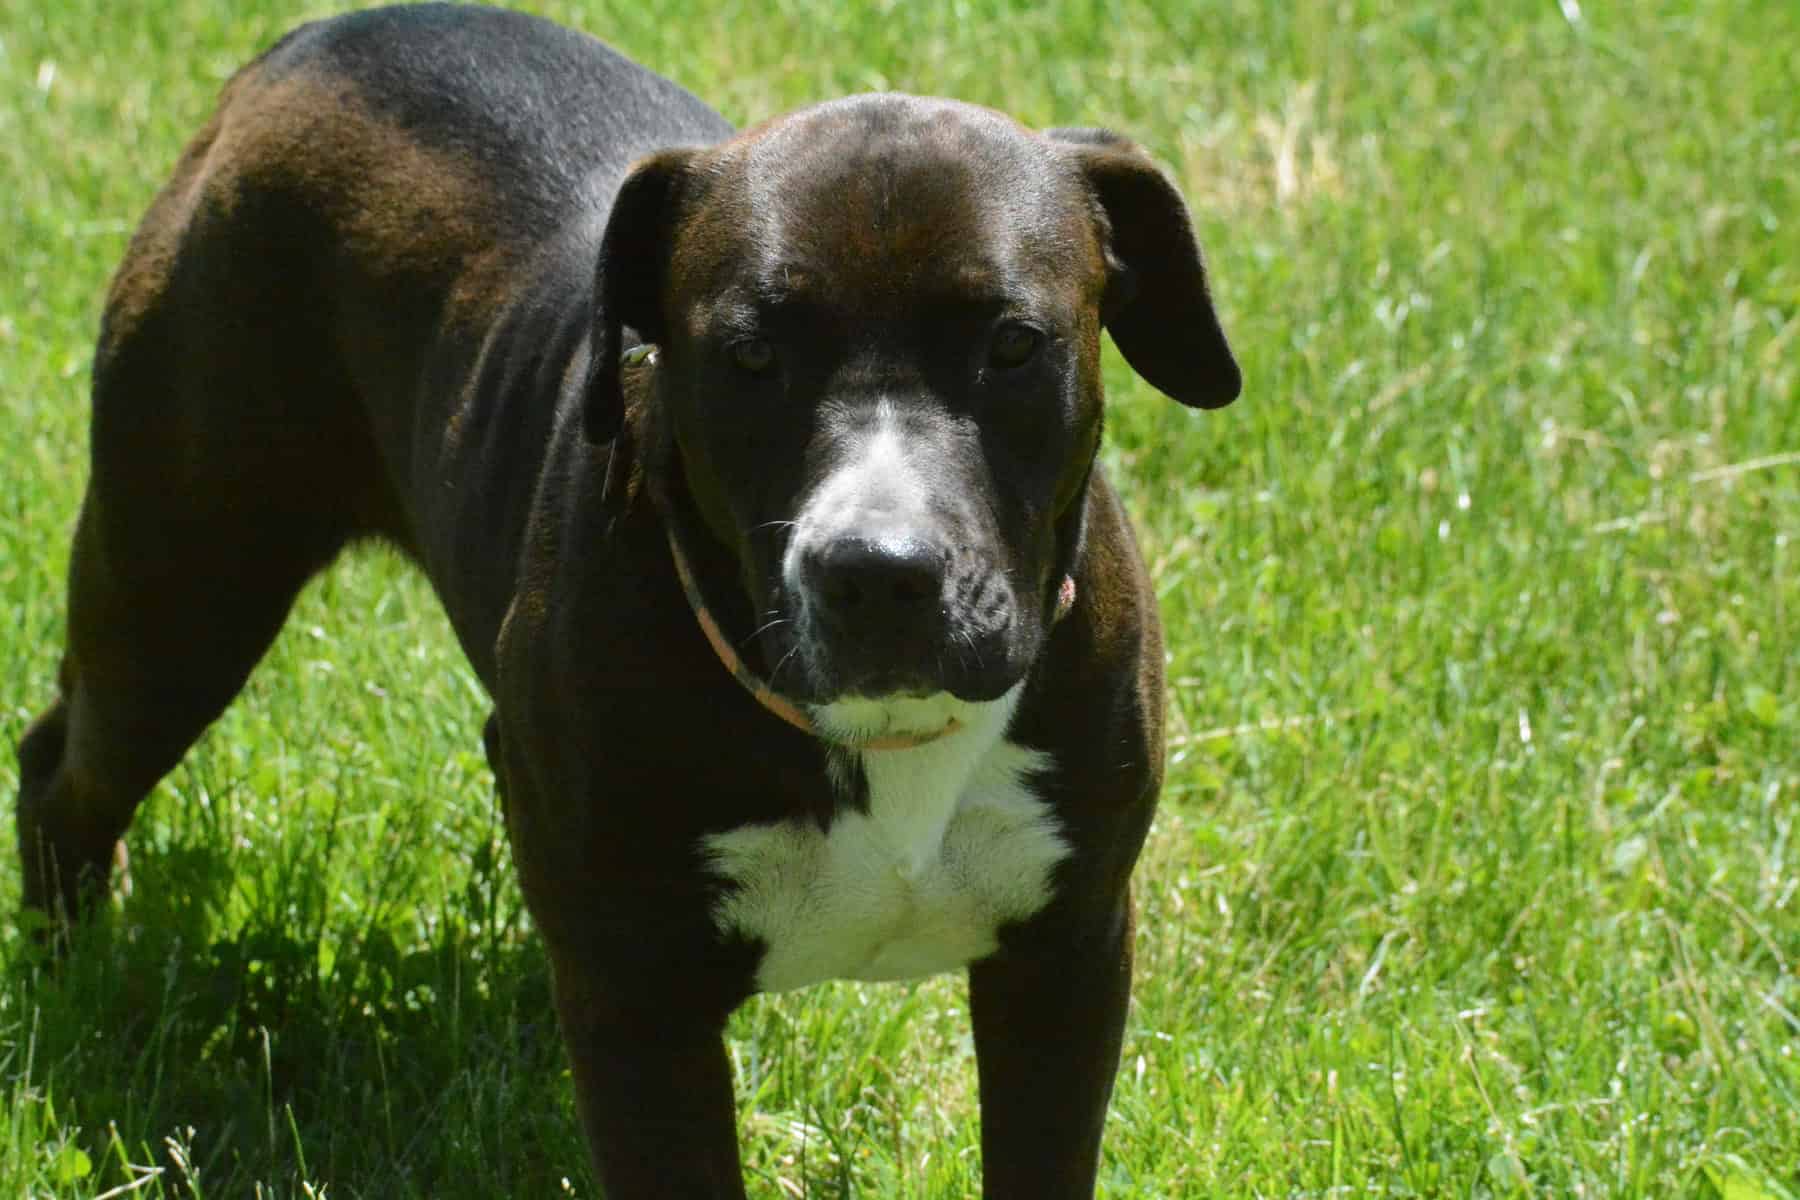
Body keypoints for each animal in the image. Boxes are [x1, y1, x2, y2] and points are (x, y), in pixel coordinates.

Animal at [14, 4, 1245, 1194]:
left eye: (1014, 345)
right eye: (749, 354)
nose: (878, 571)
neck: (887, 739)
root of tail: (308, 44)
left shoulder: (1067, 964)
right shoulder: (641, 1010)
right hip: (184, 586)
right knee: (68, 765)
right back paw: (74, 980)